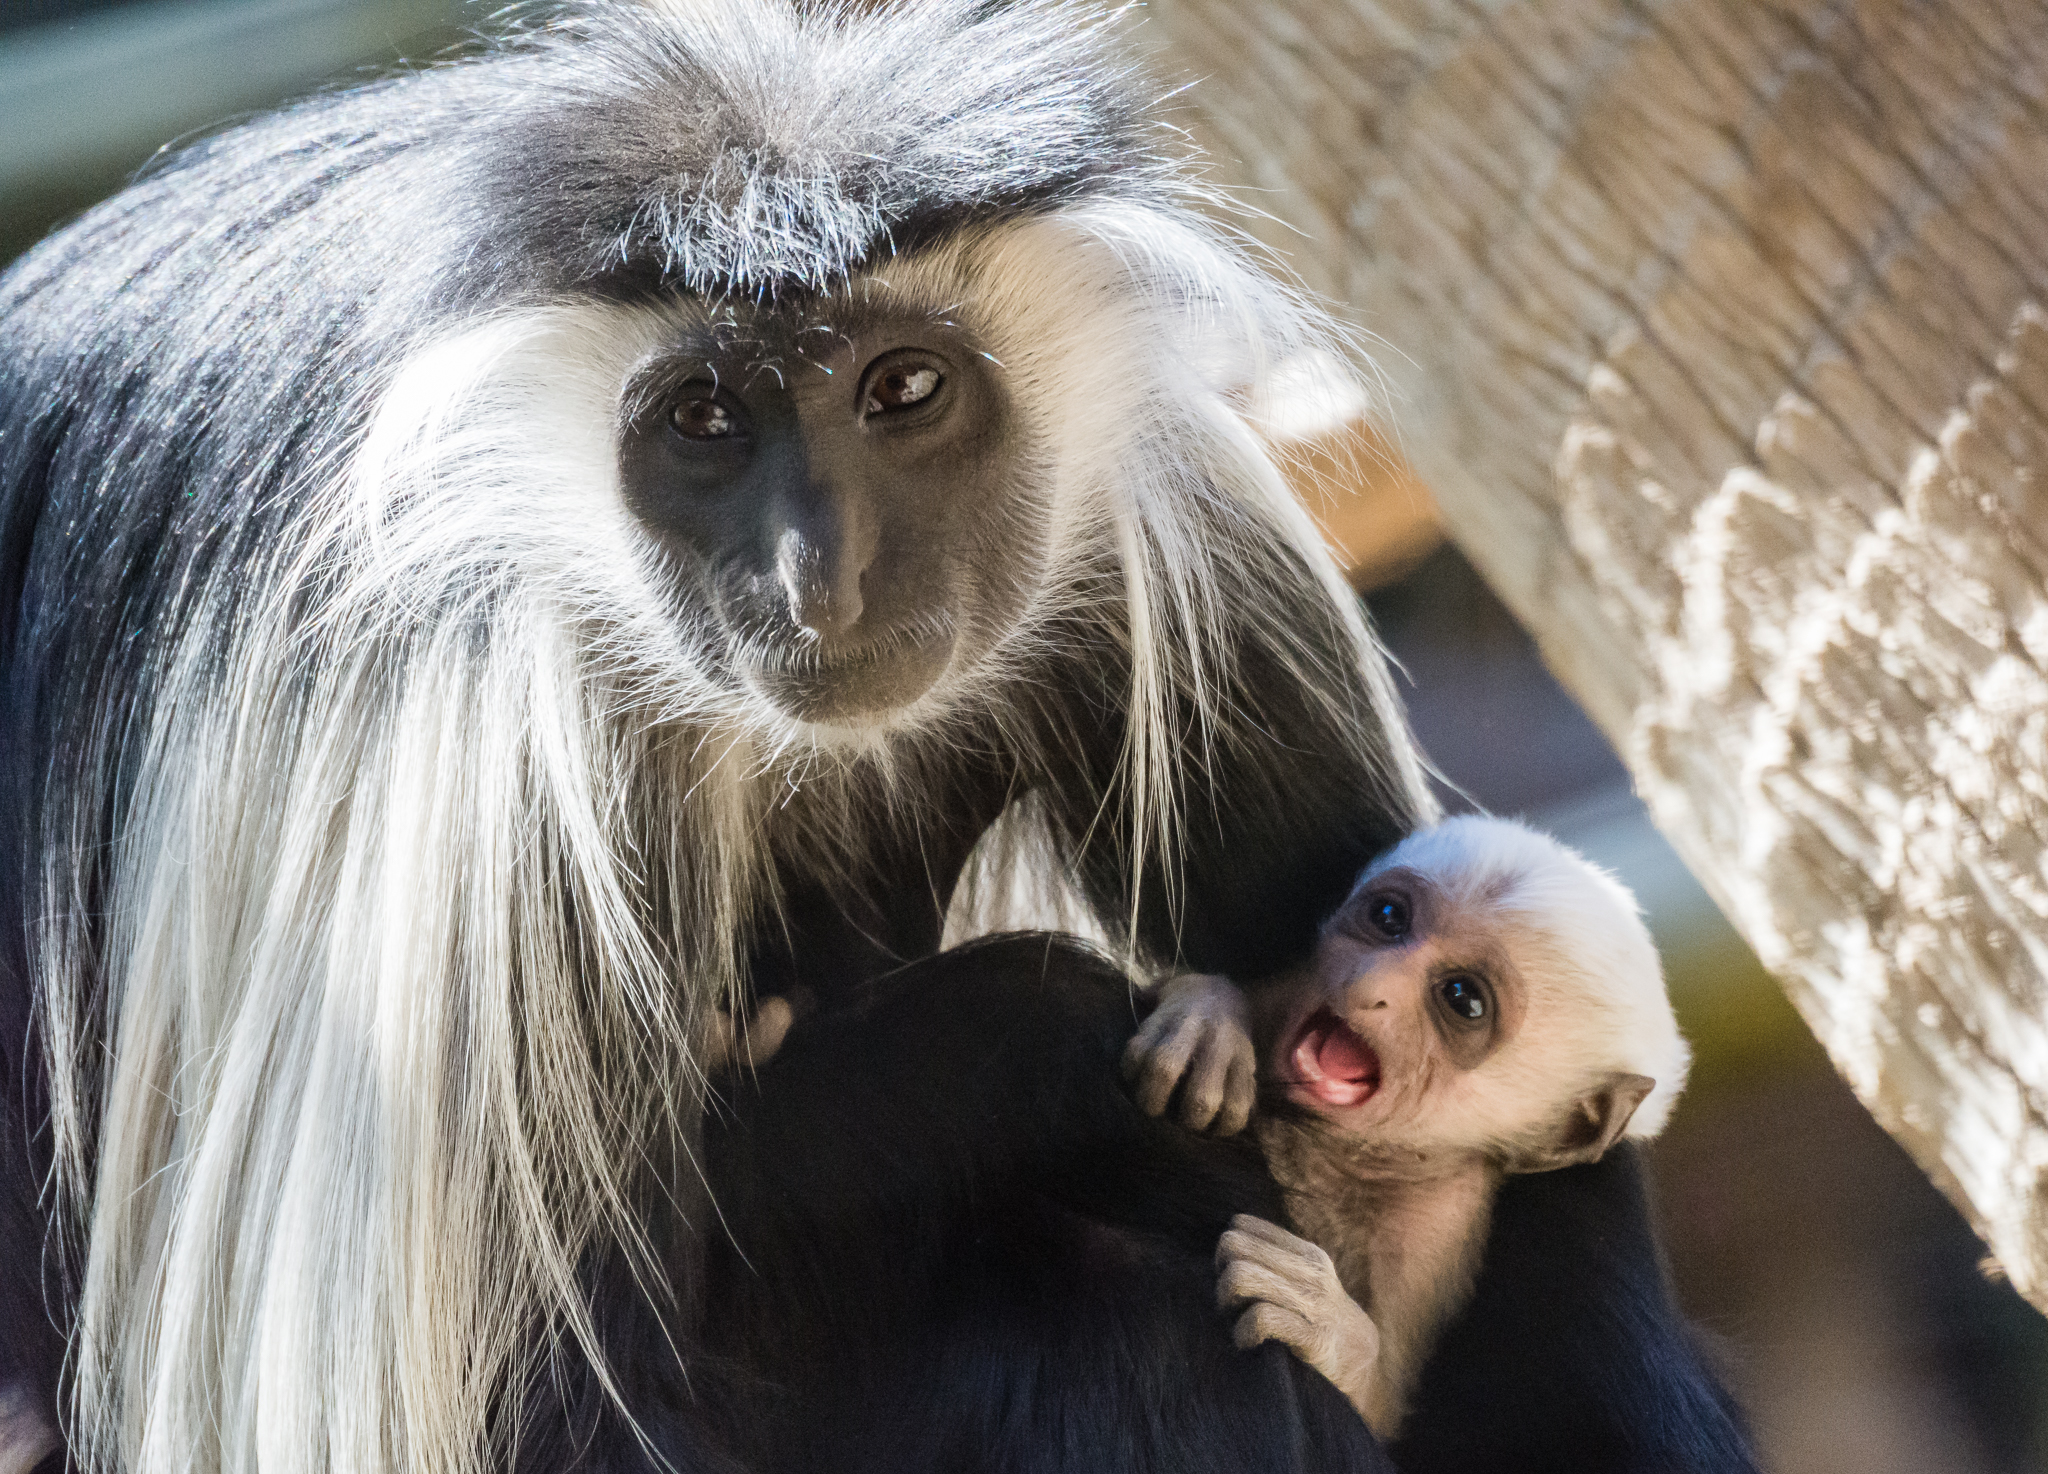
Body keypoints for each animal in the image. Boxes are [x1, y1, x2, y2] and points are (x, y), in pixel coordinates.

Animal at [0, 2, 1431, 1470]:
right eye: (703, 419)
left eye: (901, 389)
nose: (821, 583)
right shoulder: (475, 754)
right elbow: (542, 1387)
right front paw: (1136, 1048)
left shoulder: (1190, 537)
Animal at [1128, 815, 1761, 1472]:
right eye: (1389, 919)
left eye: (1462, 998)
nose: (1370, 987)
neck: (1345, 1153)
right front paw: (1210, 1017)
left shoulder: (1432, 1232)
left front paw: (1334, 1336)